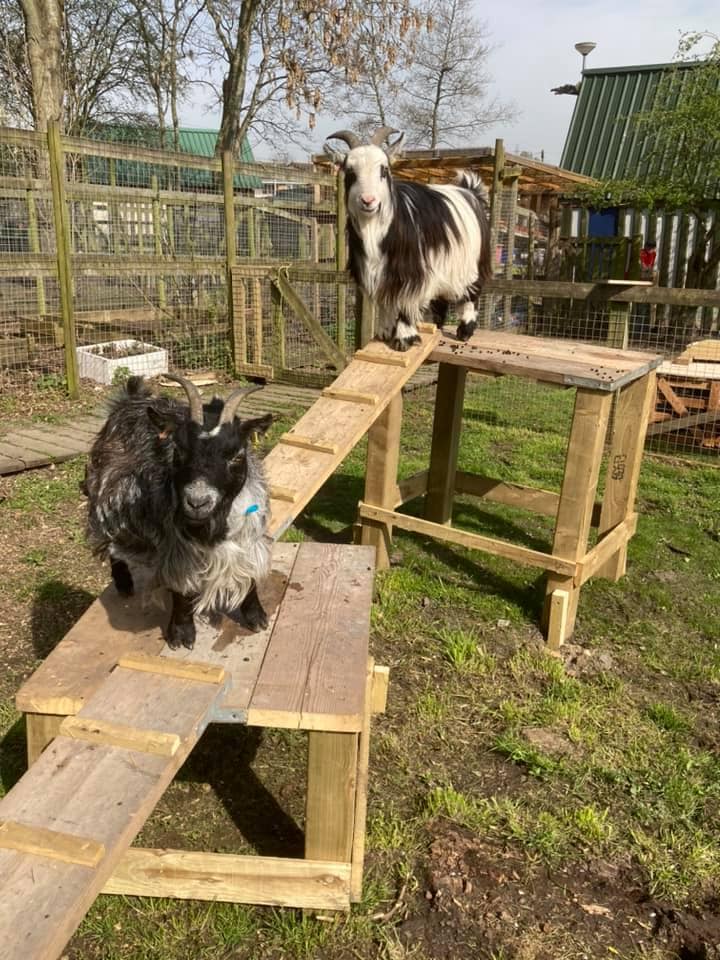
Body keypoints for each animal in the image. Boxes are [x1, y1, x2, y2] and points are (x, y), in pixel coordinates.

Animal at [83, 376, 272, 652]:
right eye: (179, 450)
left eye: (236, 455)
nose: (197, 502)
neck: (212, 528)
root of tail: (130, 398)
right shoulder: (175, 546)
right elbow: (182, 591)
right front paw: (181, 633)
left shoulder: (248, 535)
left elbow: (248, 574)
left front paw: (257, 617)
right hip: (106, 497)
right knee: (112, 544)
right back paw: (123, 582)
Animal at [324, 125, 490, 352]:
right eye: (350, 172)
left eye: (384, 170)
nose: (368, 200)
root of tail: (470, 192)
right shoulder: (379, 273)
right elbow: (385, 302)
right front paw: (384, 332)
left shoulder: (412, 273)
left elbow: (405, 302)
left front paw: (404, 338)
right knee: (442, 299)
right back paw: (437, 326)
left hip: (473, 263)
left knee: (471, 294)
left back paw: (464, 331)